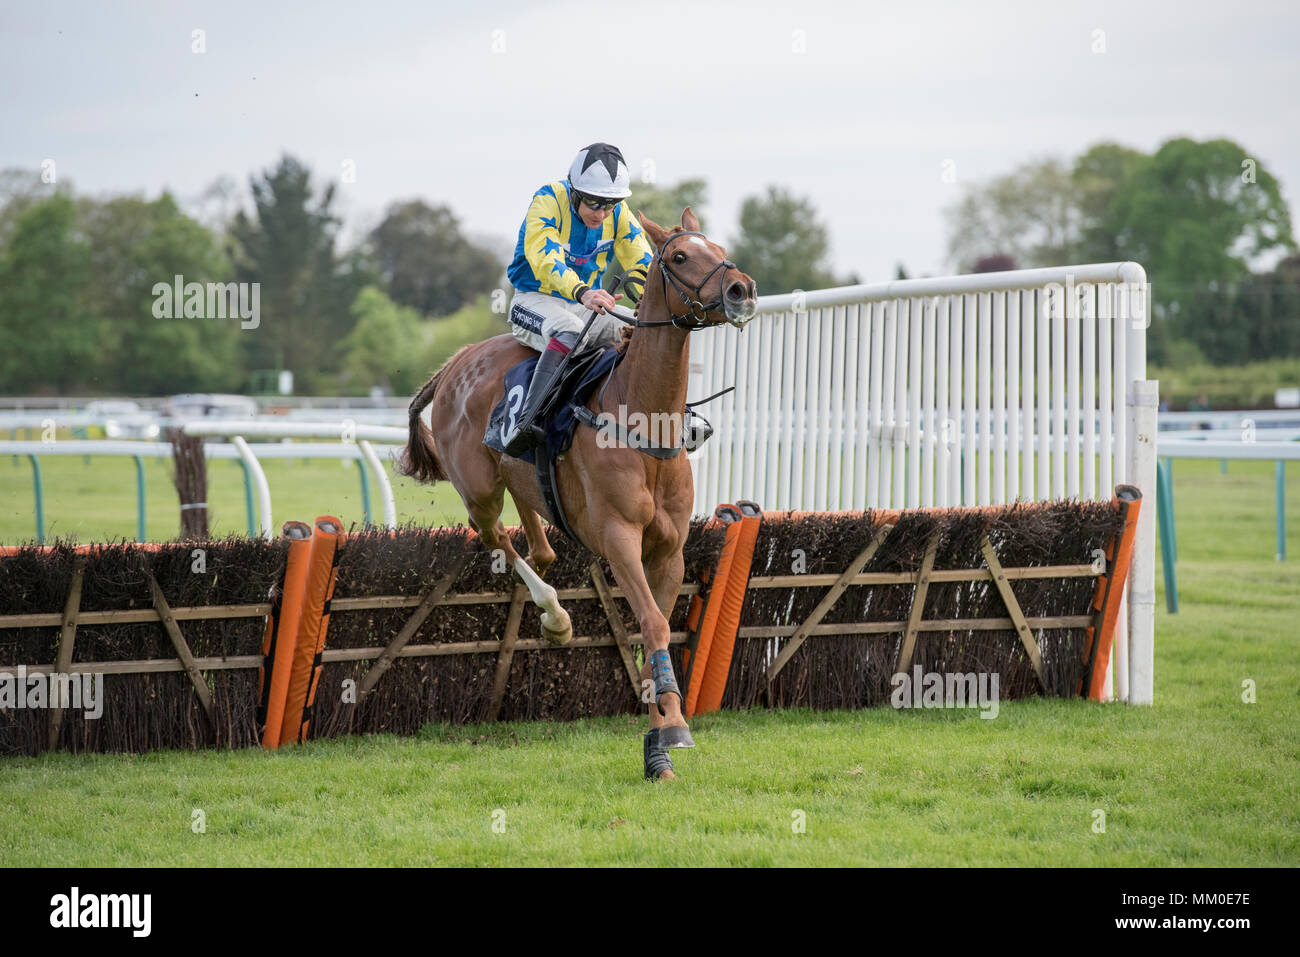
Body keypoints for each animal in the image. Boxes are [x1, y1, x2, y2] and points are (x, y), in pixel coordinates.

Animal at [400, 208, 759, 780]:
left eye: (720, 248)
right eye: (680, 256)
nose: (741, 290)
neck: (642, 421)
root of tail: (455, 364)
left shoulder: (669, 552)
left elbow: (654, 630)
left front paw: (657, 739)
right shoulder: (618, 540)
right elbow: (653, 624)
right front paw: (674, 727)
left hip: (519, 479)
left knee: (538, 544)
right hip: (478, 490)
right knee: (495, 538)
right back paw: (555, 616)